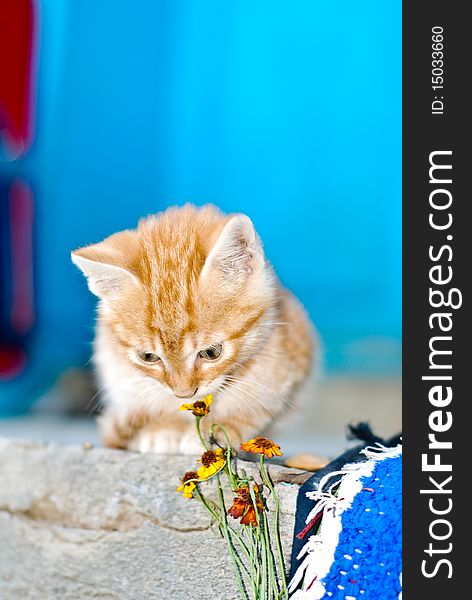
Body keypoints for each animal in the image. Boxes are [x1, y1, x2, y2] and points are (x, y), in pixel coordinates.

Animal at [71, 204, 314, 452]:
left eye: (211, 353)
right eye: (148, 357)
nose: (183, 393)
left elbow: (258, 405)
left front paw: (216, 430)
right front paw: (164, 427)